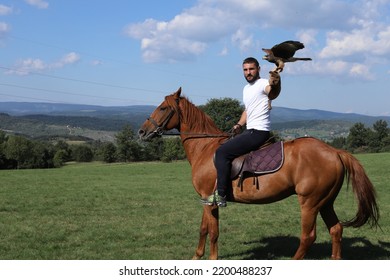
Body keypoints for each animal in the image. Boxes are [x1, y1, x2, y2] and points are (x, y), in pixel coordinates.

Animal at [137, 88, 378, 260]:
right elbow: (204, 229)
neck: (205, 148)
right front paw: (197, 257)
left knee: (308, 237)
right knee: (336, 230)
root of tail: (334, 151)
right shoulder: (207, 200)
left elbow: (212, 232)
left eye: (162, 108)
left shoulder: (210, 199)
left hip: (310, 203)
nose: (141, 132)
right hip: (325, 202)